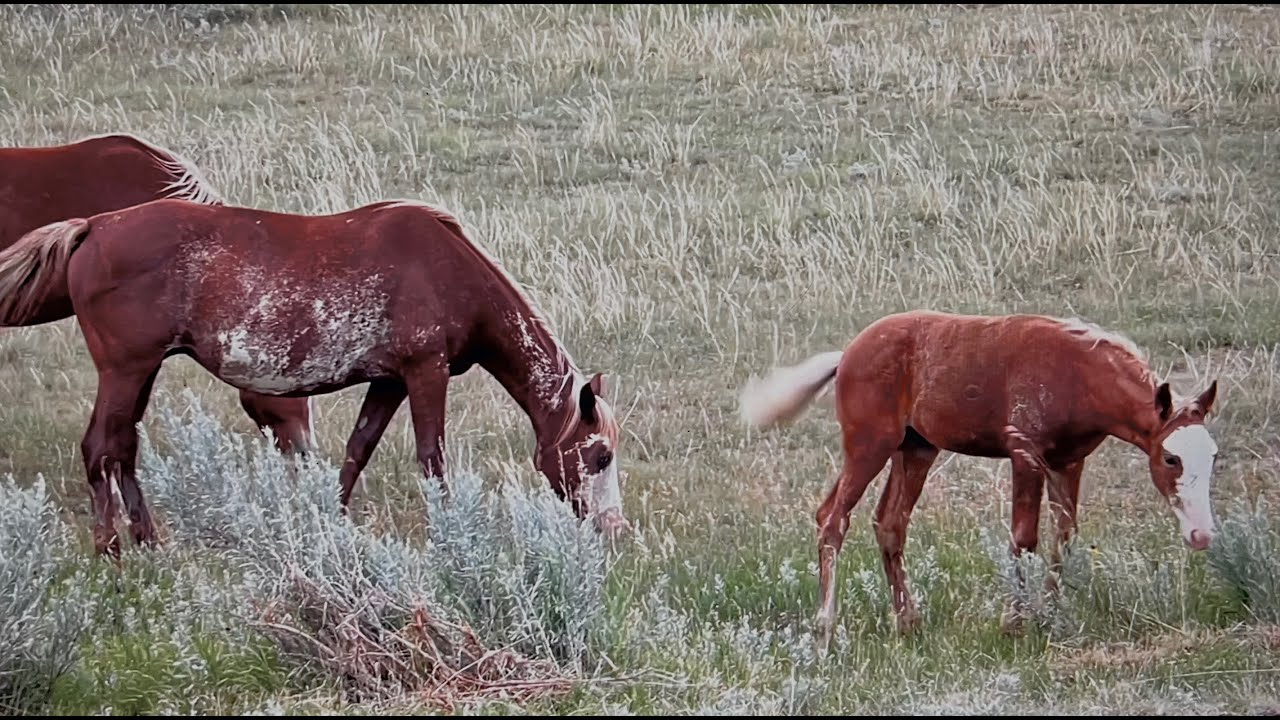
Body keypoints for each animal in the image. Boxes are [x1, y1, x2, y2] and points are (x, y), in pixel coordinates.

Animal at [0, 196, 629, 558]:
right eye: (600, 456)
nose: (614, 529)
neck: (447, 266)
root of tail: (93, 227)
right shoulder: (426, 373)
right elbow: (432, 459)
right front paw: (451, 535)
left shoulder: (389, 380)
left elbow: (356, 451)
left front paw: (330, 520)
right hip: (126, 369)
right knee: (101, 447)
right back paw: (110, 549)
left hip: (141, 371)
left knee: (122, 449)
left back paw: (147, 543)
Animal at [738, 310, 1220, 648]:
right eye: (1171, 457)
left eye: (1213, 455)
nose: (1201, 535)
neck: (1078, 374)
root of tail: (846, 356)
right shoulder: (1025, 454)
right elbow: (1023, 538)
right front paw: (1014, 624)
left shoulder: (1067, 462)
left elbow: (1065, 535)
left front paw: (1050, 615)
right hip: (869, 446)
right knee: (832, 518)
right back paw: (826, 628)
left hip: (915, 450)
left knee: (890, 523)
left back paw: (907, 621)